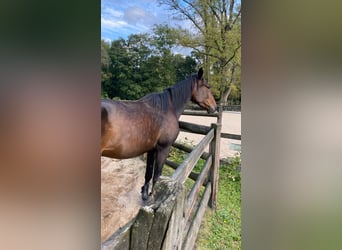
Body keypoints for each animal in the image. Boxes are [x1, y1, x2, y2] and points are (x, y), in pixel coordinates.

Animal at [100, 67, 216, 200]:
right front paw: (152, 197)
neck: (166, 109)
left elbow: (148, 173)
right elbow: (157, 175)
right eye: (208, 87)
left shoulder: (152, 149)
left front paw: (145, 194)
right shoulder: (163, 148)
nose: (214, 107)